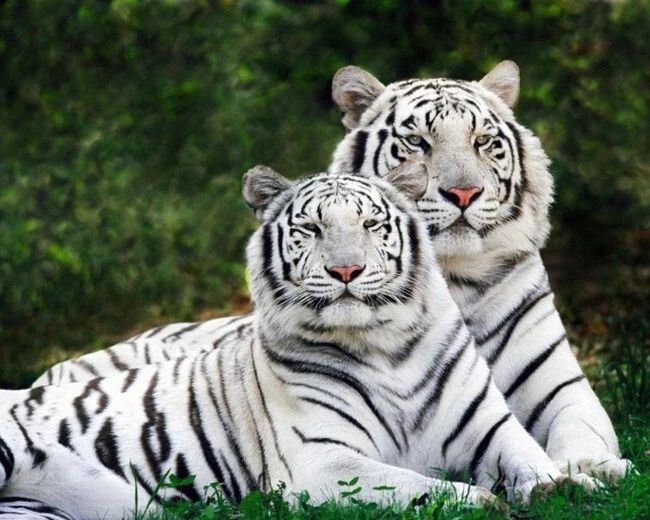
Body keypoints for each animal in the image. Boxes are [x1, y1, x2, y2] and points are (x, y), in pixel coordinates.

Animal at [0, 167, 599, 519]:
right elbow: (406, 485)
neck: (389, 348)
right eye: (311, 229)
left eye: (372, 224)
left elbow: (531, 457)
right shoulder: (321, 460)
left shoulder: (489, 428)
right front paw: (481, 501)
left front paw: (568, 486)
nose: (345, 270)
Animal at [32, 61, 631, 481]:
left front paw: (596, 468)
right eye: (417, 142)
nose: (463, 193)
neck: (454, 278)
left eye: (483, 141)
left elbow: (583, 429)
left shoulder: (561, 387)